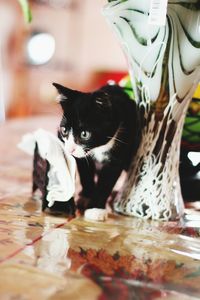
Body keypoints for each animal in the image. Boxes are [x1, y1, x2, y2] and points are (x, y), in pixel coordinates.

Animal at [53, 81, 141, 210]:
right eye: (64, 130)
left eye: (84, 134)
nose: (70, 150)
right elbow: (86, 173)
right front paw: (87, 196)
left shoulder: (119, 151)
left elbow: (106, 182)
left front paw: (95, 207)